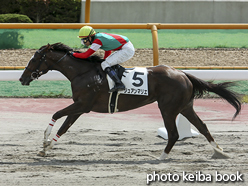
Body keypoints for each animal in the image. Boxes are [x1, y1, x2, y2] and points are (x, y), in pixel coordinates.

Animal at [19, 42, 242, 159]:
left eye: (34, 59)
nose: (22, 78)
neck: (82, 72)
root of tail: (182, 74)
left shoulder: (83, 105)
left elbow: (56, 114)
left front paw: (45, 140)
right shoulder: (80, 107)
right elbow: (64, 127)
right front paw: (46, 147)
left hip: (168, 108)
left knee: (174, 133)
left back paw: (161, 157)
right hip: (185, 106)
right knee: (202, 126)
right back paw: (219, 151)